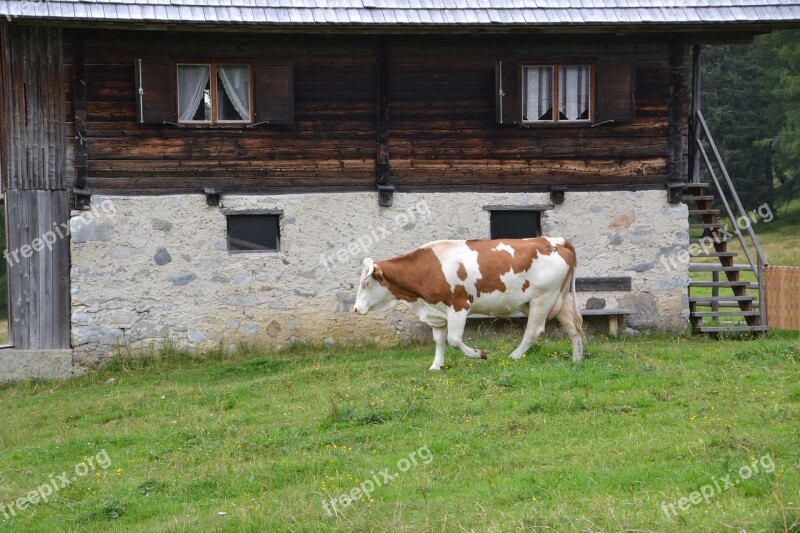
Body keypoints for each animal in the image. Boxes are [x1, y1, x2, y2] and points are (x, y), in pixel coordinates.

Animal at [354, 237, 584, 370]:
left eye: (365, 283)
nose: (355, 309)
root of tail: (553, 240)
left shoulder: (459, 306)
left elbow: (454, 340)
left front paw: (478, 354)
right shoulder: (437, 312)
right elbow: (439, 340)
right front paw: (436, 365)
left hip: (542, 298)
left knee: (534, 331)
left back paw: (514, 356)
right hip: (557, 298)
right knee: (572, 327)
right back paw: (577, 358)